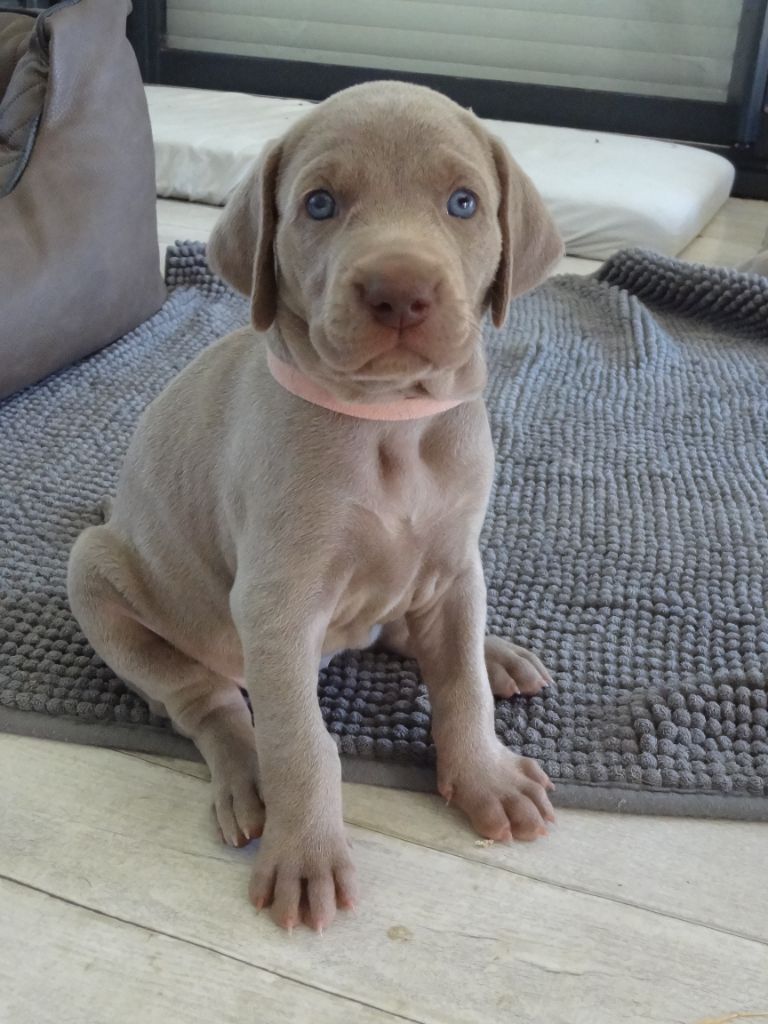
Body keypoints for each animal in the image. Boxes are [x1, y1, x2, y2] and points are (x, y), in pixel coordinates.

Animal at [68, 80, 564, 931]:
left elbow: (460, 686)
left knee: (416, 633)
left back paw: (495, 653)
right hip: (97, 573)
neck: (392, 425)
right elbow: (301, 741)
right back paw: (246, 781)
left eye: (464, 202)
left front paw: (486, 773)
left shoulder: (458, 565)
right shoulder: (277, 605)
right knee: (207, 703)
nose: (400, 292)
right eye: (320, 204)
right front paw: (306, 852)